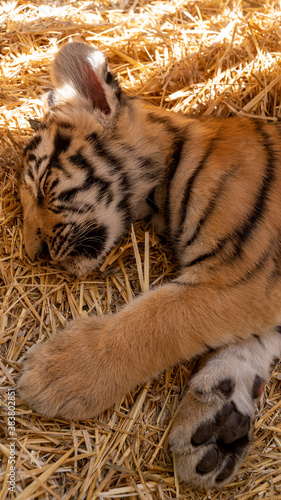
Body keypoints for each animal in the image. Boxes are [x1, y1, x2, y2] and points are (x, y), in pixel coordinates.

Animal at [15, 42, 281, 488]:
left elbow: (155, 319)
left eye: (43, 184)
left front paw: (57, 374)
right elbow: (255, 340)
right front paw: (215, 422)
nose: (33, 251)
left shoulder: (240, 274)